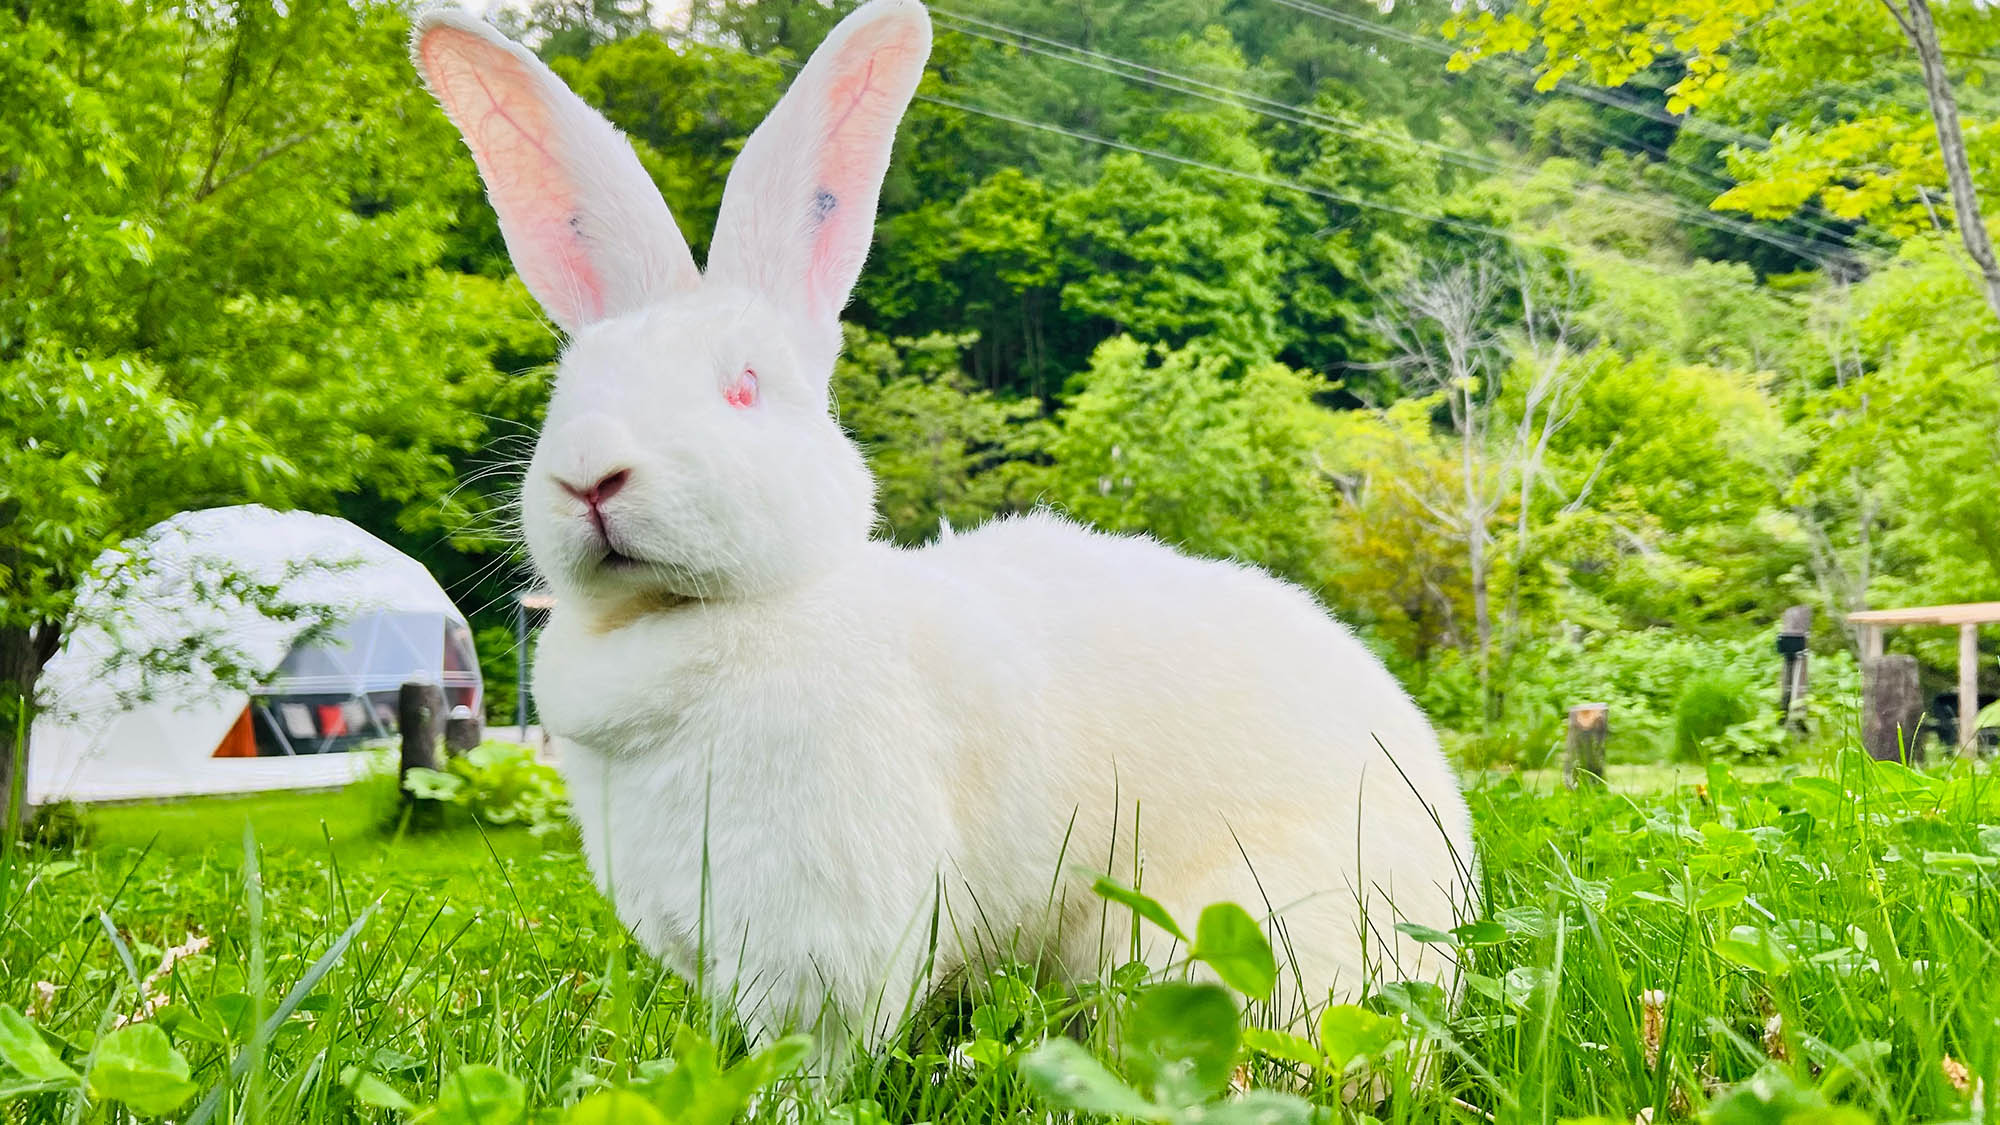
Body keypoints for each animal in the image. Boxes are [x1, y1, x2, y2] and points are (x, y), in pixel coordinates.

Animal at [410, 0, 1472, 1064]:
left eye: (743, 387)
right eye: (567, 395)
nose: (590, 475)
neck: (701, 615)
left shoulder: (823, 929)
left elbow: (815, 1050)